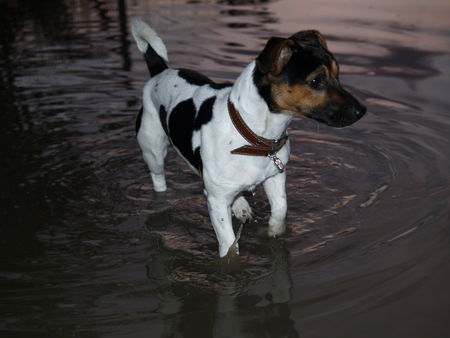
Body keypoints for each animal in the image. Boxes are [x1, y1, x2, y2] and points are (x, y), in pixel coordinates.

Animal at [131, 19, 366, 256]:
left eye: (338, 75)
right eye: (316, 81)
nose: (362, 111)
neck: (253, 135)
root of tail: (161, 71)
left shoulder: (275, 176)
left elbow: (280, 208)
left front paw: (272, 232)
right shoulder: (217, 202)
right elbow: (229, 244)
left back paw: (240, 204)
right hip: (153, 151)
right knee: (159, 179)